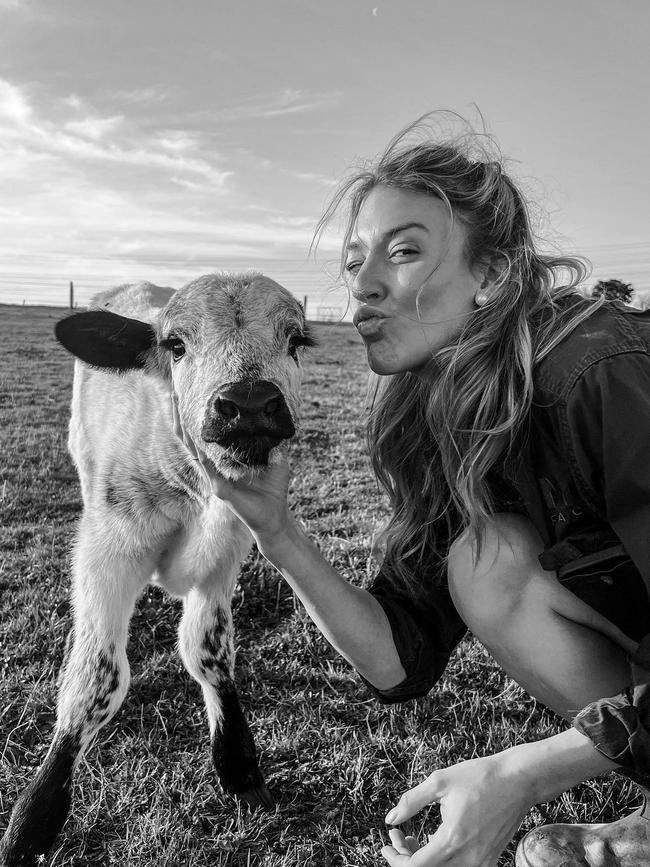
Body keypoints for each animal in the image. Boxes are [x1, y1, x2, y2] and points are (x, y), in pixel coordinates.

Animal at [0, 272, 314, 867]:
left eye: (295, 342)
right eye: (176, 345)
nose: (249, 402)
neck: (195, 490)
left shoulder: (226, 552)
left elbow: (208, 651)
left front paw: (239, 767)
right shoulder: (108, 546)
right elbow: (97, 674)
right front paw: (33, 819)